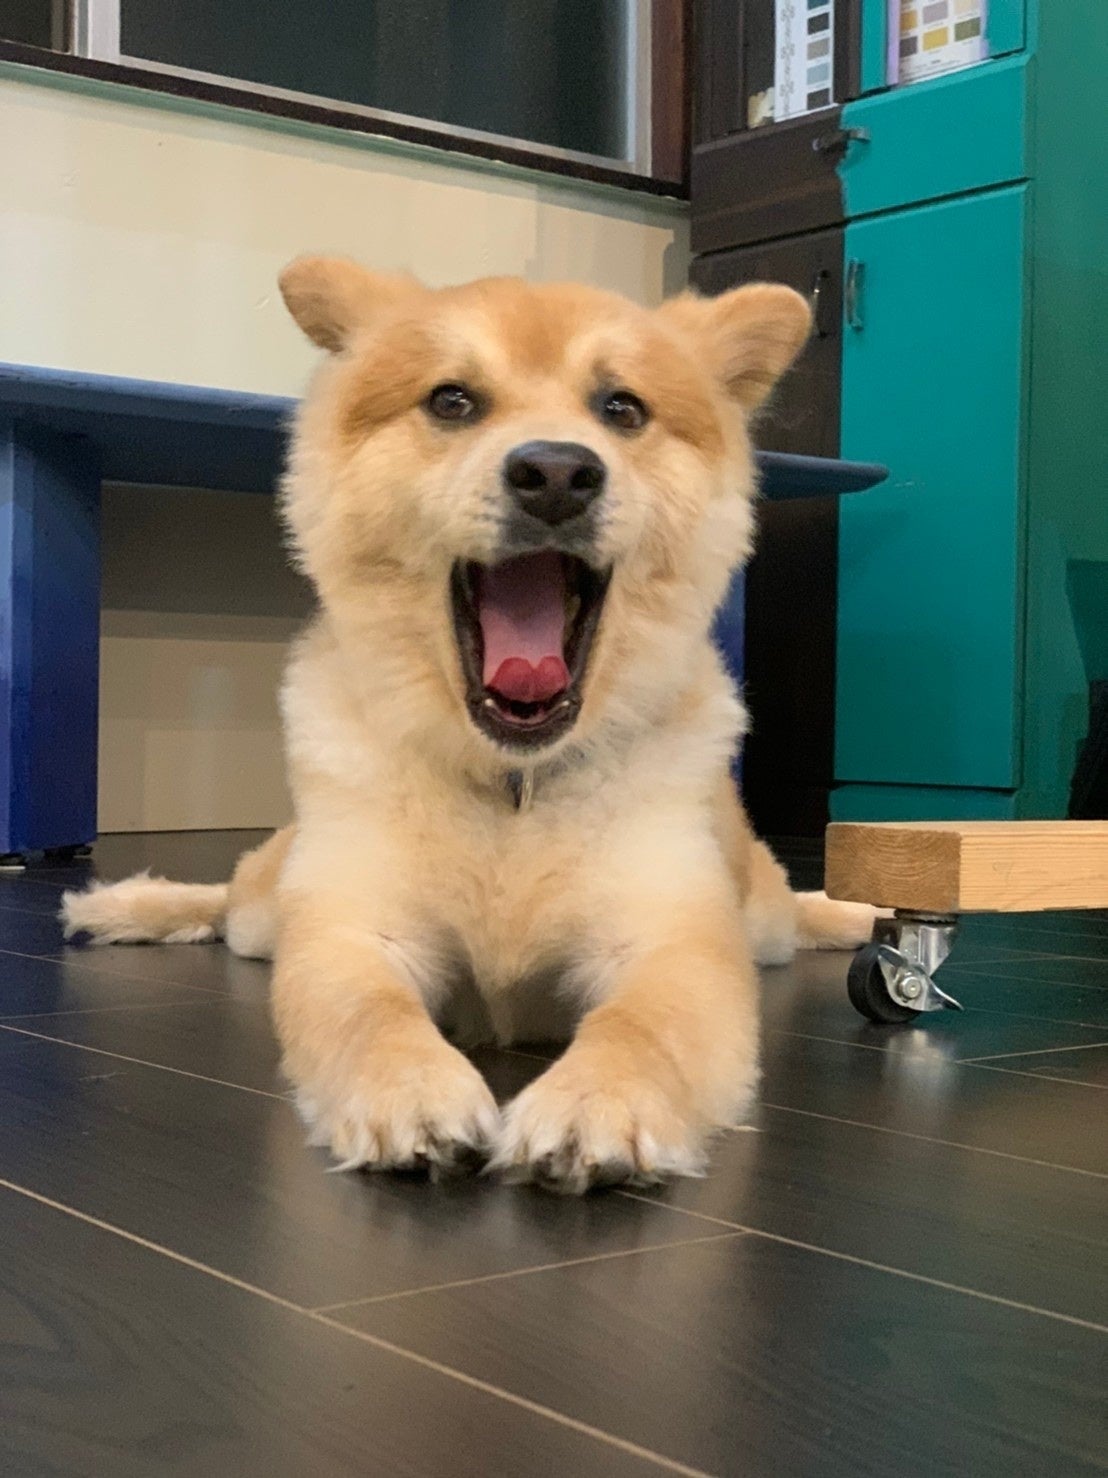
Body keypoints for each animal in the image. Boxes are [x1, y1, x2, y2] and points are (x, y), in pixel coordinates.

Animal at [62, 259, 877, 1191]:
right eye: (452, 401)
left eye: (623, 409)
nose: (556, 472)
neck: (512, 785)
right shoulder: (353, 931)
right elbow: (370, 1013)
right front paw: (409, 1089)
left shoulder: (674, 944)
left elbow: (642, 1027)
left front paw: (599, 1101)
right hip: (274, 906)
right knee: (234, 896)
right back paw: (121, 905)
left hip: (762, 921)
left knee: (796, 910)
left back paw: (864, 916)